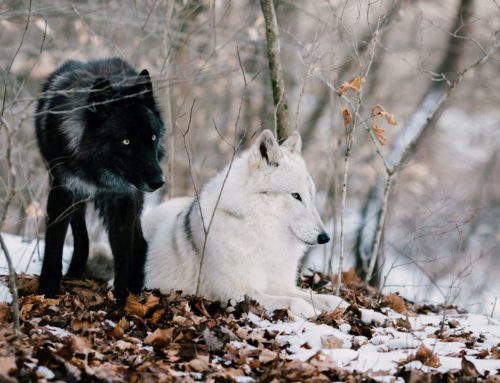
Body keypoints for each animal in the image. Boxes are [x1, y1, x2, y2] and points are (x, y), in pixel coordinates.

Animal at [37, 57, 166, 304]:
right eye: (126, 141)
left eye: (153, 137)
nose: (159, 181)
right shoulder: (63, 190)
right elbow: (54, 245)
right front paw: (47, 291)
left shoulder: (122, 198)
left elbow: (122, 254)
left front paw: (123, 300)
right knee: (82, 236)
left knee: (139, 244)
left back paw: (135, 289)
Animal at [142, 130, 348, 318]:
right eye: (296, 196)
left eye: (311, 196)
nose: (325, 237)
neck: (260, 231)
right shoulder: (237, 294)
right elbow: (295, 301)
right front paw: (312, 312)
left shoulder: (281, 286)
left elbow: (322, 297)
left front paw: (347, 306)